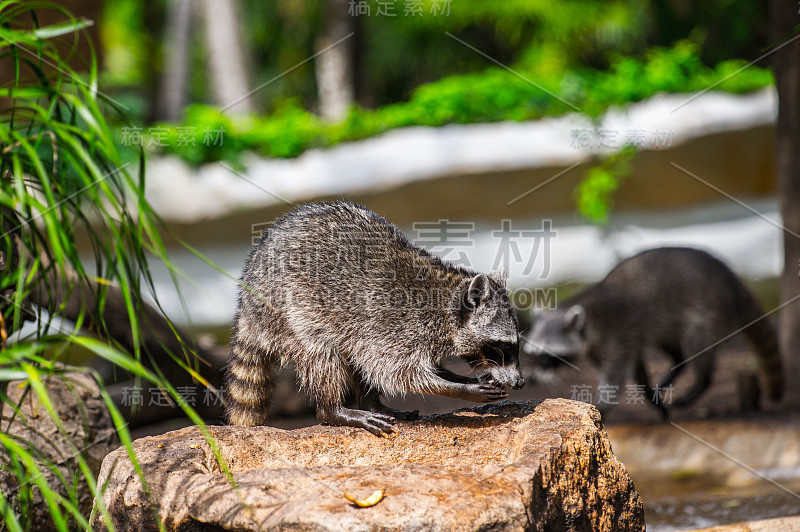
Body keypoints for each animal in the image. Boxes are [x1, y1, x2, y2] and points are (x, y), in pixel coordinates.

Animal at [225, 202, 524, 434]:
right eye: (502, 347)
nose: (520, 382)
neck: (445, 306)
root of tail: (246, 302)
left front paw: (467, 379)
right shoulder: (395, 324)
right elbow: (399, 374)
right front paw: (459, 389)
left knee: (353, 356)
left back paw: (372, 404)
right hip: (292, 313)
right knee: (323, 354)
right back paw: (333, 410)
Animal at [524, 247, 780, 418]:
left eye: (545, 356)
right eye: (531, 354)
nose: (531, 377)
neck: (589, 322)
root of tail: (731, 280)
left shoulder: (616, 333)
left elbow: (615, 381)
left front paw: (600, 408)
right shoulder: (619, 342)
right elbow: (638, 371)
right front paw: (650, 396)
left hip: (706, 310)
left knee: (697, 345)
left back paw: (699, 383)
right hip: (671, 322)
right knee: (676, 350)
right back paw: (674, 370)